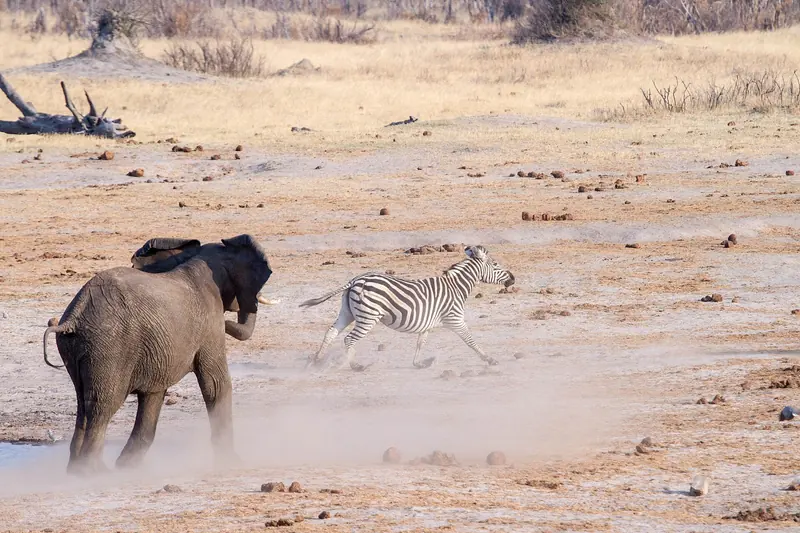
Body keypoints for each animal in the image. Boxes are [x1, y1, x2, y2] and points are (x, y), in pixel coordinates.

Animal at [42, 234, 272, 474]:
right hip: (108, 348)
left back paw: (76, 470)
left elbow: (154, 394)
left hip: (76, 348)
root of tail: (73, 318)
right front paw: (233, 463)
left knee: (82, 404)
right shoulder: (210, 325)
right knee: (102, 404)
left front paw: (128, 466)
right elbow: (216, 385)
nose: (228, 322)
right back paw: (95, 472)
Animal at [299, 245, 515, 371]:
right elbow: (470, 341)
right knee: (348, 338)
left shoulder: (428, 323)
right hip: (368, 316)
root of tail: (357, 279)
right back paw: (355, 365)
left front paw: (419, 363)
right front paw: (489, 359)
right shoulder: (454, 319)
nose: (513, 279)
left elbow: (420, 344)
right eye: (496, 264)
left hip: (348, 312)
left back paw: (316, 362)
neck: (457, 286)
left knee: (331, 332)